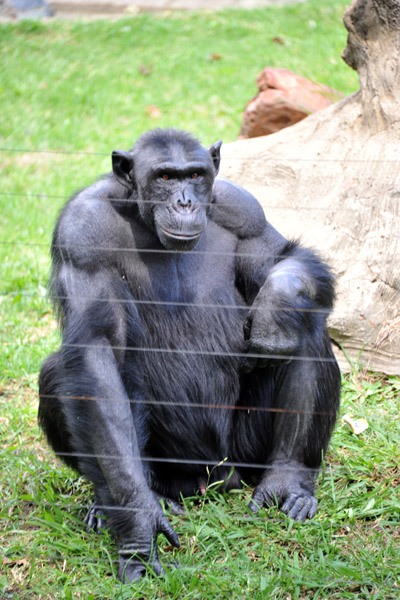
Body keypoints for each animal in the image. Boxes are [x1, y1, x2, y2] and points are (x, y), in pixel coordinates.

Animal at [39, 126, 340, 580]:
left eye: (195, 175)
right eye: (165, 177)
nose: (185, 201)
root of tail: (213, 478)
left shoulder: (243, 207)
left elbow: (281, 256)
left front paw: (276, 301)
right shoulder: (82, 233)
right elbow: (97, 349)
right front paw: (139, 525)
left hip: (244, 452)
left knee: (306, 331)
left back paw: (288, 479)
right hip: (171, 469)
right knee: (62, 371)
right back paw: (122, 503)